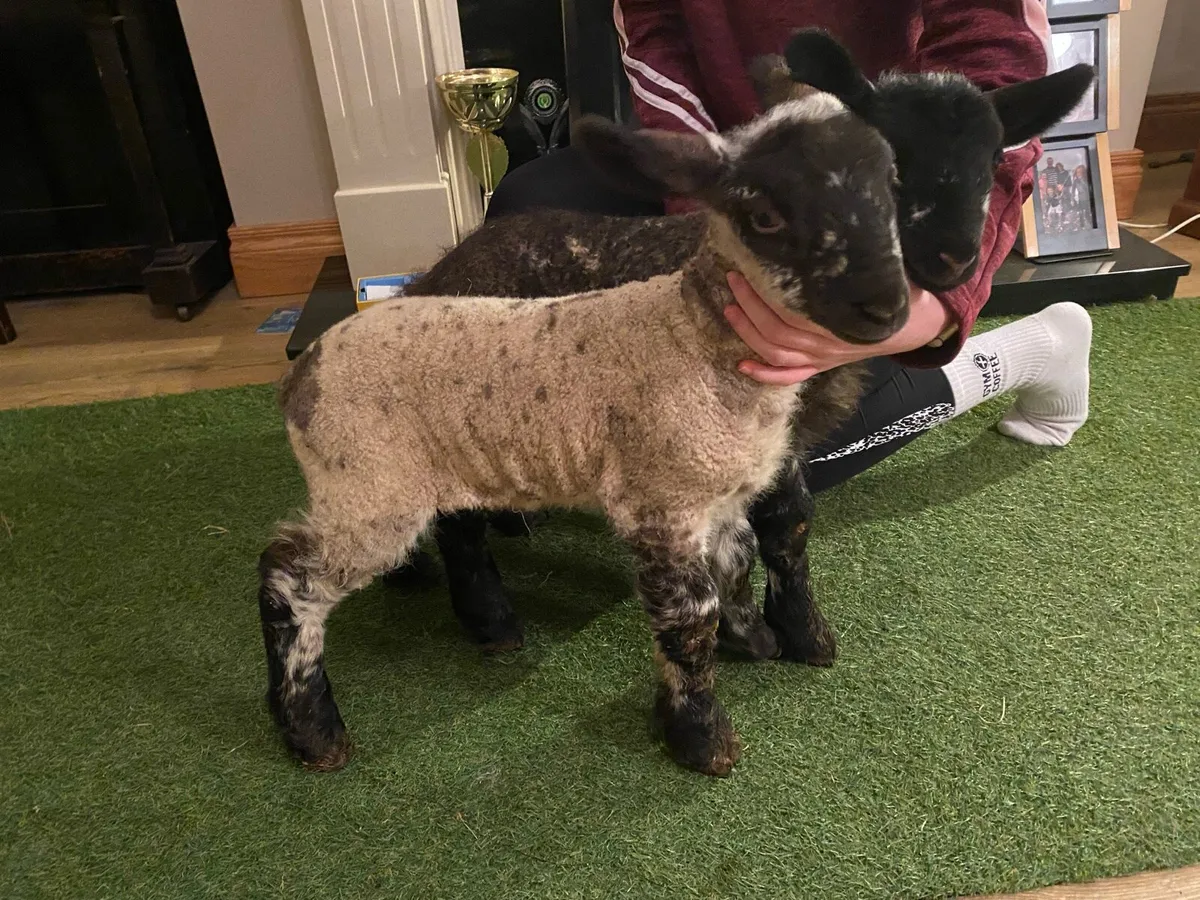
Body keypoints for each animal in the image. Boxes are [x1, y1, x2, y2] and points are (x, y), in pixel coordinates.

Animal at [259, 91, 911, 777]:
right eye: (763, 214)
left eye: (892, 186)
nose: (887, 306)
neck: (695, 331)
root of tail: (302, 374)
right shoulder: (659, 502)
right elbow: (689, 618)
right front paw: (701, 737)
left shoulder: (723, 492)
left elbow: (745, 555)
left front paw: (756, 637)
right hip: (369, 484)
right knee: (287, 577)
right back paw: (312, 729)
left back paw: (482, 623)